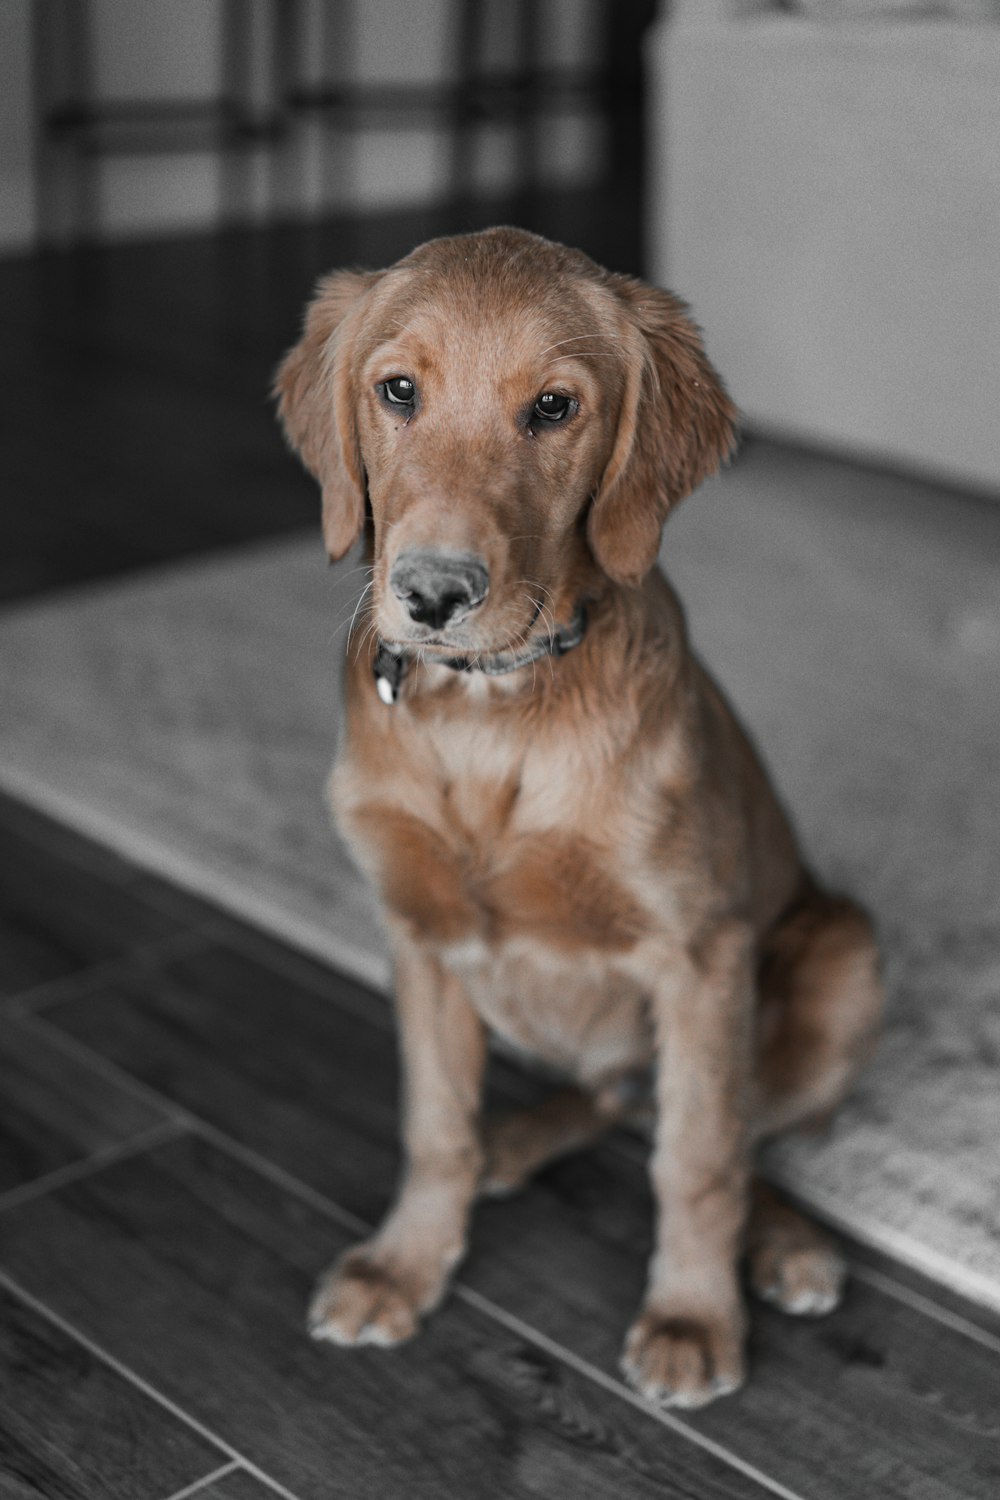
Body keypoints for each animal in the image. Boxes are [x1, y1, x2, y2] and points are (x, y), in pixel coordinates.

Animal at [275, 225, 881, 1404]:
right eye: (398, 390)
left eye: (553, 409)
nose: (432, 594)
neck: (493, 711)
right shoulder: (418, 938)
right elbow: (434, 1124)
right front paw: (406, 1263)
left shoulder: (701, 952)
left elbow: (699, 1156)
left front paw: (692, 1315)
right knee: (604, 1101)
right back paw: (514, 1147)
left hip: (840, 957)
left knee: (728, 1132)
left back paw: (785, 1244)